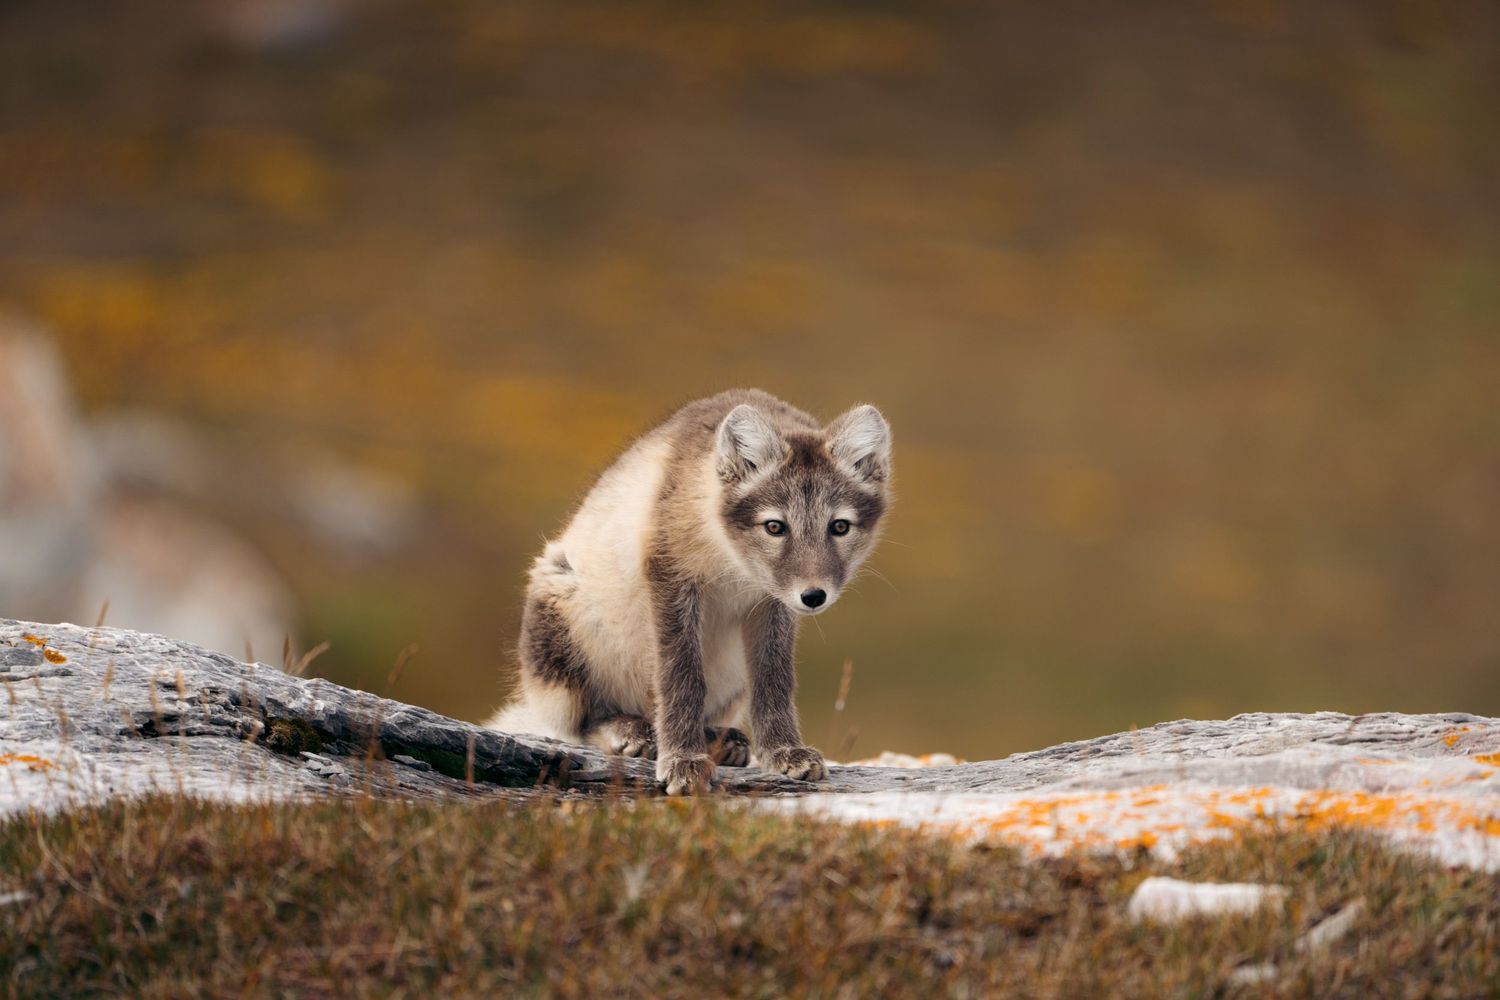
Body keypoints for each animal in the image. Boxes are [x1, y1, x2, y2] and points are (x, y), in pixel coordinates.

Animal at [485, 389, 892, 795]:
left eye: (839, 526)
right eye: (775, 526)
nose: (813, 596)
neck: (730, 560)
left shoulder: (771, 603)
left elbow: (774, 679)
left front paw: (784, 752)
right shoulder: (669, 575)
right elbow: (681, 676)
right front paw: (682, 759)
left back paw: (720, 740)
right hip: (562, 612)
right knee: (577, 726)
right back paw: (632, 732)